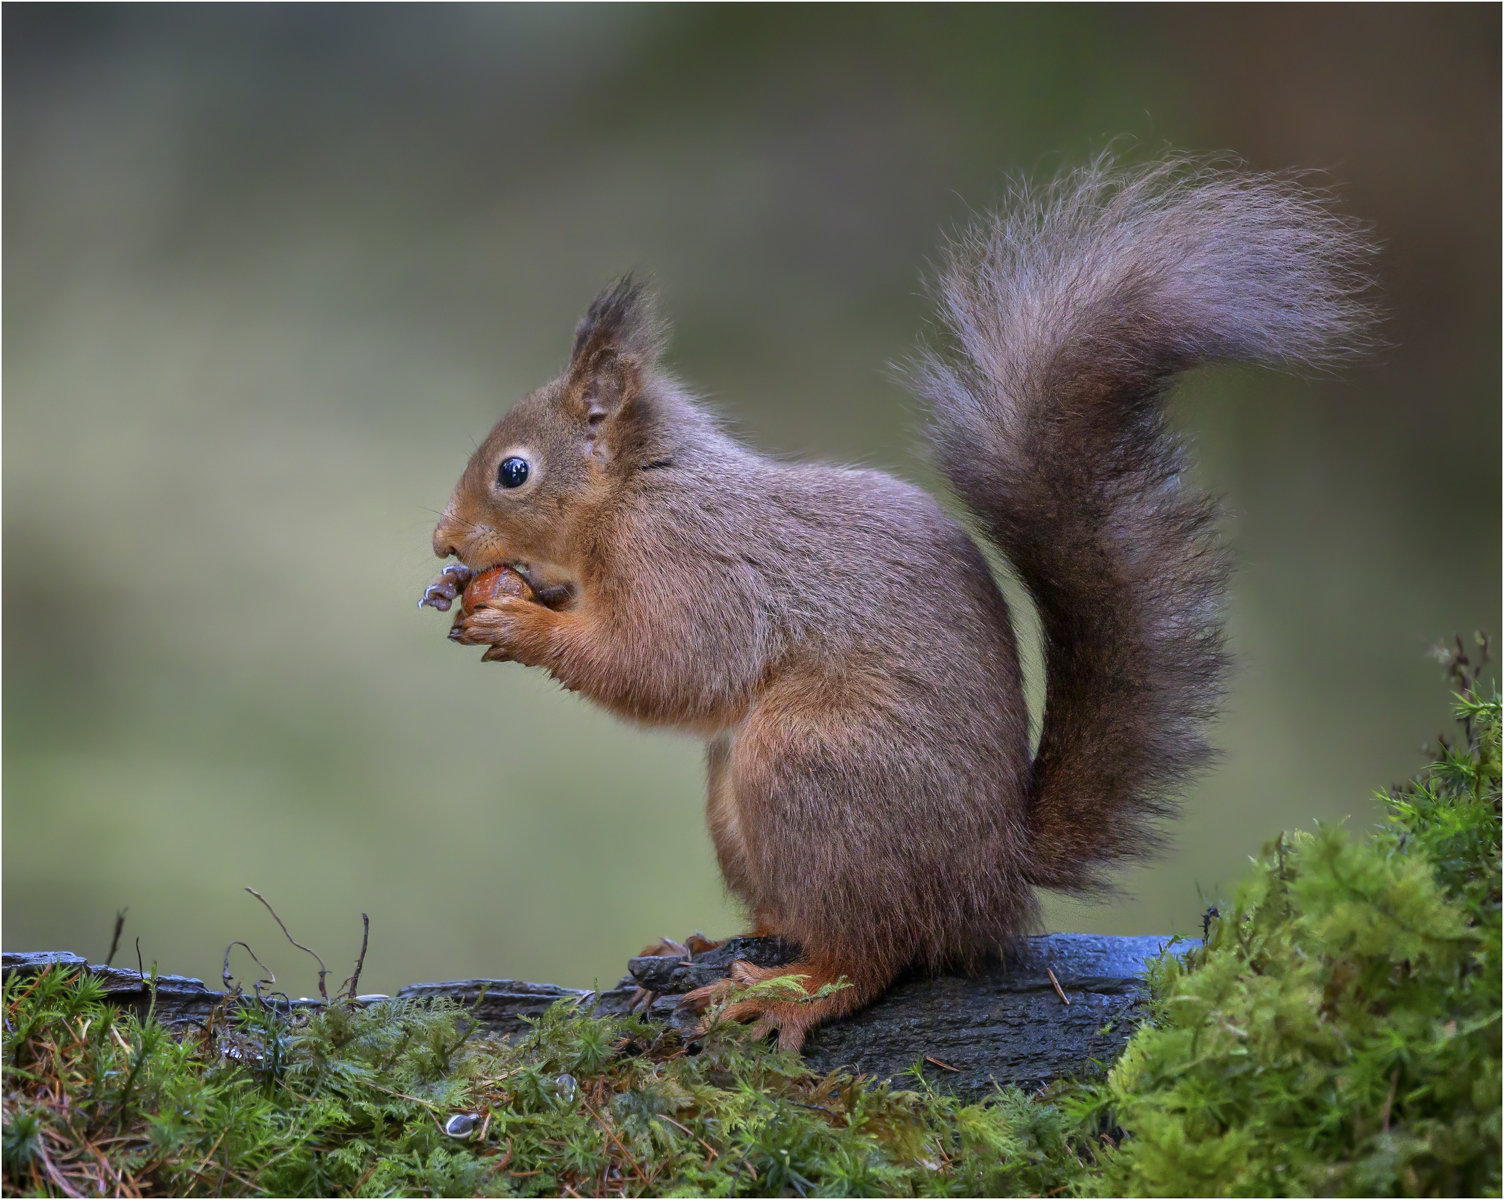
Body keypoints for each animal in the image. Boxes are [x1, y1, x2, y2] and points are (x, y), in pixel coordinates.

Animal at [425, 156, 1377, 1050]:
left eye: (515, 472)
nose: (441, 541)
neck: (635, 490)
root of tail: (993, 878)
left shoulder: (690, 566)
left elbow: (665, 668)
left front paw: (523, 621)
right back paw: (711, 943)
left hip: (810, 764)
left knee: (875, 952)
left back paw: (791, 993)